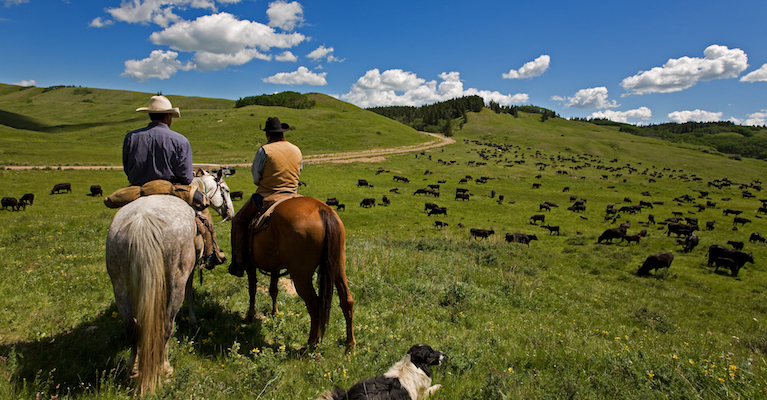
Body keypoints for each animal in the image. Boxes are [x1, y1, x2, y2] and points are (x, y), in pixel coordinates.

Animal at [244, 197, 356, 346]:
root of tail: (323, 210)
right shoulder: (275, 267)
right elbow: (273, 289)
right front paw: (275, 312)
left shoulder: (250, 265)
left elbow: (252, 290)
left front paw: (250, 315)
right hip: (338, 268)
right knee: (346, 300)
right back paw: (350, 343)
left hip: (301, 278)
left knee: (314, 304)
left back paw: (312, 342)